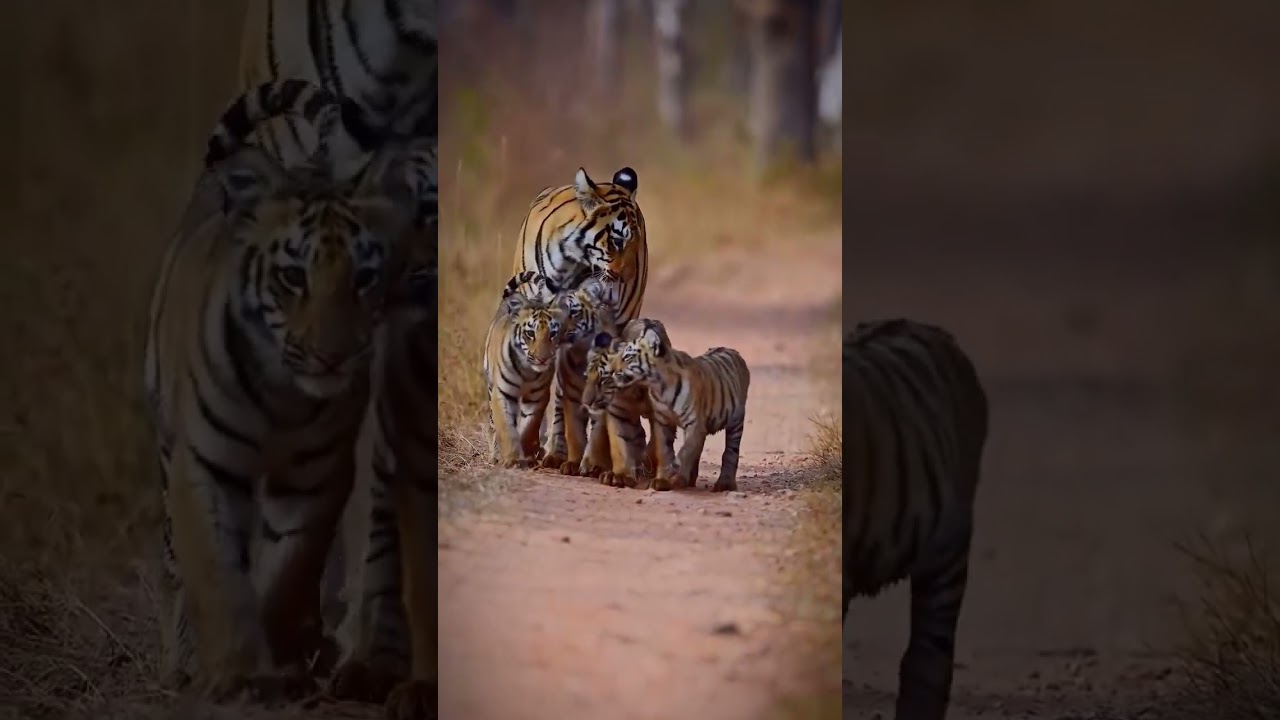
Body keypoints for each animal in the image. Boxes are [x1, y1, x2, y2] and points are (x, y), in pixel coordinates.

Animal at [142, 78, 419, 700]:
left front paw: (283, 658)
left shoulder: (317, 478)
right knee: (171, 563)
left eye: (364, 278)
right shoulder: (202, 467)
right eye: (294, 276)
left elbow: (285, 569)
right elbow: (217, 575)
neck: (282, 397)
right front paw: (238, 673)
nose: (331, 355)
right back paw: (177, 664)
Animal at [579, 321, 678, 488]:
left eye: (603, 380)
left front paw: (663, 479)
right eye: (587, 378)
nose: (586, 403)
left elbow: (663, 446)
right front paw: (620, 475)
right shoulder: (619, 413)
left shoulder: (663, 413)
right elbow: (621, 444)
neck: (634, 387)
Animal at [610, 319, 751, 492]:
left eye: (628, 357)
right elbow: (664, 451)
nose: (611, 371)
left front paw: (676, 475)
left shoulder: (694, 423)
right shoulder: (663, 422)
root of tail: (732, 350)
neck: (658, 387)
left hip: (736, 421)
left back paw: (724, 484)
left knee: (731, 451)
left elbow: (685, 451)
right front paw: (663, 479)